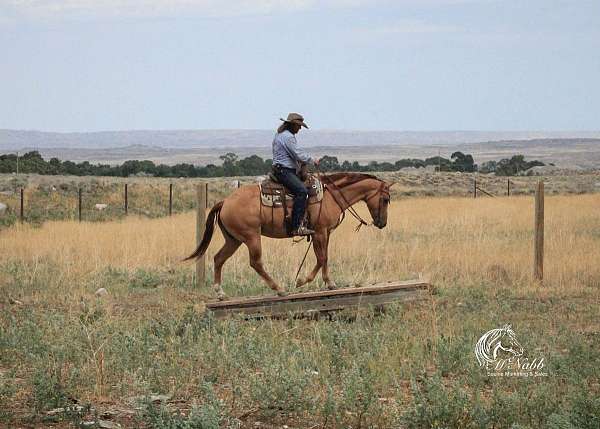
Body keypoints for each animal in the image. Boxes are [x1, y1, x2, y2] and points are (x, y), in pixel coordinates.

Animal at [186, 171, 394, 298]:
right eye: (385, 199)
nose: (382, 223)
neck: (330, 197)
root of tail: (225, 201)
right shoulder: (319, 232)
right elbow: (321, 258)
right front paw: (303, 281)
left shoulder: (324, 233)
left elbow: (324, 258)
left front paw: (329, 283)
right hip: (251, 237)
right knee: (255, 262)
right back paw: (279, 289)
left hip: (234, 239)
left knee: (218, 258)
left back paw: (220, 292)